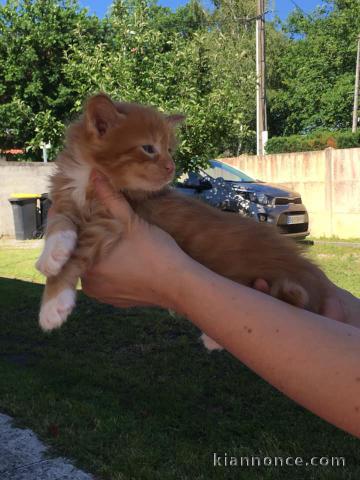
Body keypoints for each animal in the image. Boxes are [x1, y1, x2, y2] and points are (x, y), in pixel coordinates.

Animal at [35, 92, 330, 346]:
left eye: (169, 149)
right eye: (148, 148)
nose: (171, 167)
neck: (89, 175)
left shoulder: (112, 219)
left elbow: (80, 251)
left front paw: (53, 303)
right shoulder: (65, 196)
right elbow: (59, 223)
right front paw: (51, 256)